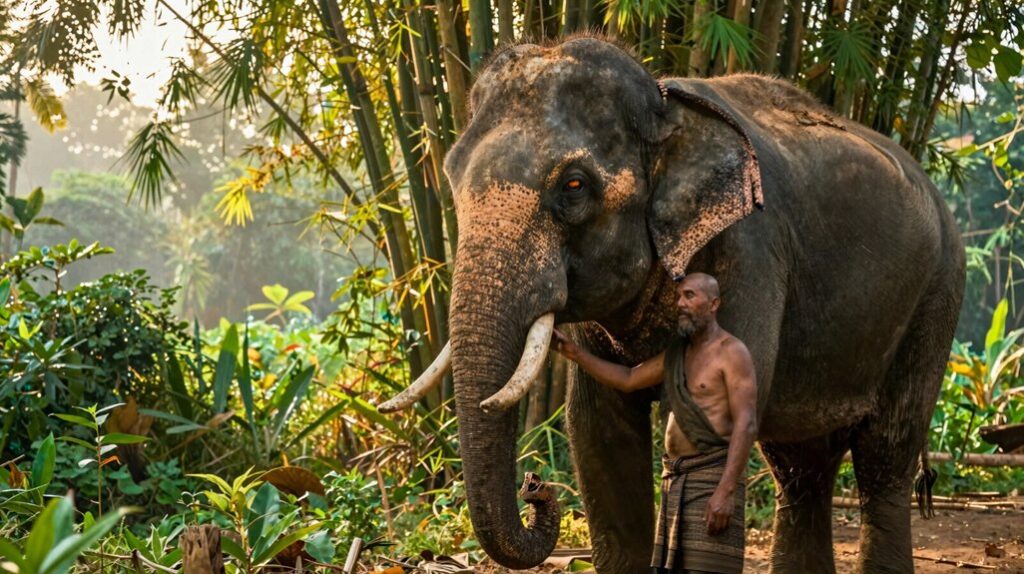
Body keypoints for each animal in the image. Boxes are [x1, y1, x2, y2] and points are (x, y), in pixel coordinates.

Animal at [379, 35, 965, 574]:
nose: (536, 487)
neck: (667, 107)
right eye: (451, 177)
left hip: (936, 297)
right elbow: (597, 429)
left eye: (574, 185)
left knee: (885, 456)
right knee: (802, 468)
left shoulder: (753, 246)